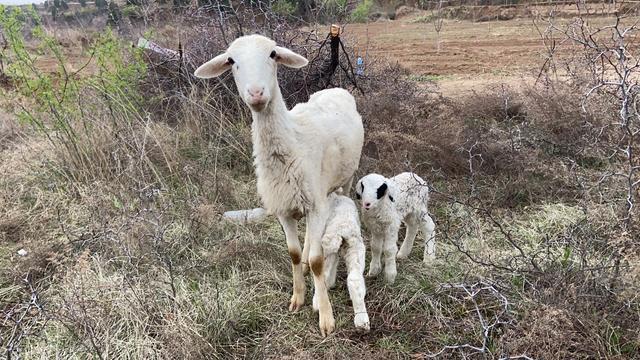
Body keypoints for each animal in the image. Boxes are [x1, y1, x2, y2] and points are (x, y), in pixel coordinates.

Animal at [195, 35, 362, 336]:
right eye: (231, 61)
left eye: (273, 54)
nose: (256, 92)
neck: (293, 141)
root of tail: (336, 88)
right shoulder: (283, 206)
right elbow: (294, 254)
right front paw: (297, 297)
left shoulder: (316, 204)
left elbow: (318, 260)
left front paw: (326, 317)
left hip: (345, 179)